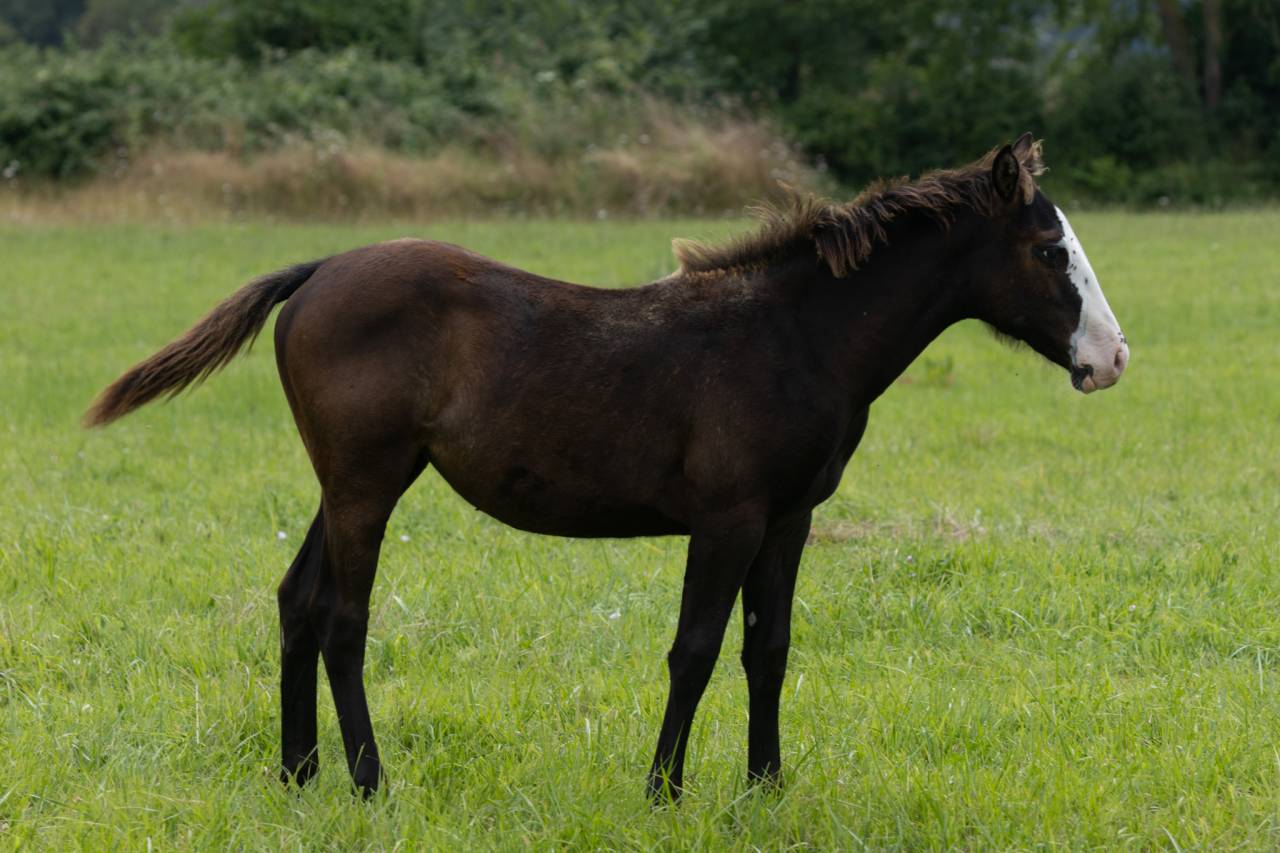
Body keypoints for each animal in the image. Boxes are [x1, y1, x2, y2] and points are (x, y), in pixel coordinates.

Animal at [85, 133, 1128, 800]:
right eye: (1049, 249)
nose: (1110, 359)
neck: (797, 336)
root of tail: (317, 271)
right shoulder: (728, 517)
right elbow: (695, 647)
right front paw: (664, 790)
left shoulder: (788, 518)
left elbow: (769, 648)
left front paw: (766, 786)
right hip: (367, 483)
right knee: (344, 619)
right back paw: (370, 783)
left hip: (345, 482)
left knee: (297, 601)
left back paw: (298, 775)